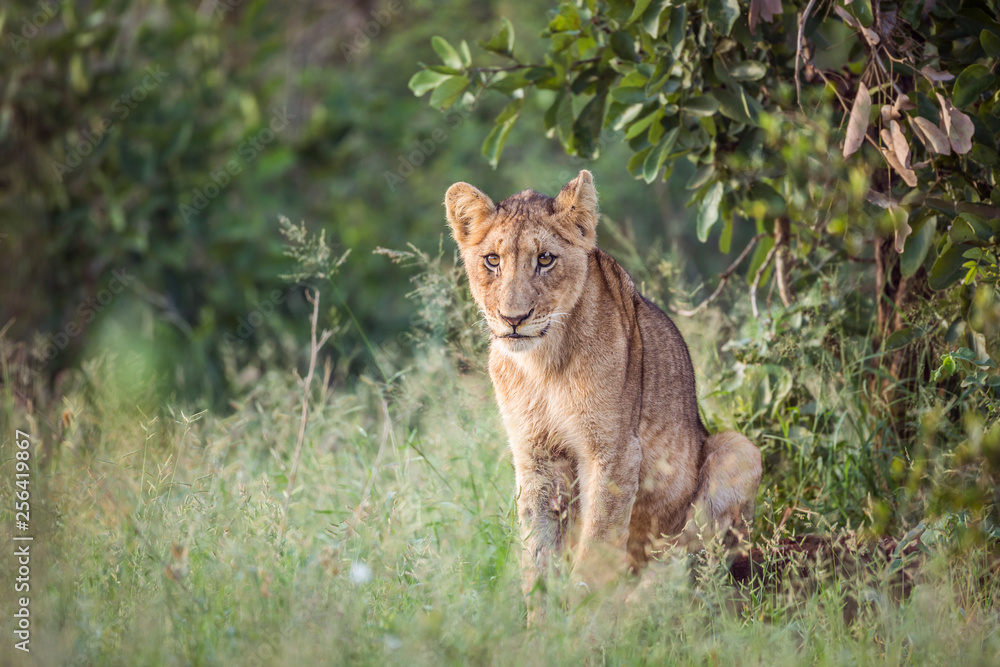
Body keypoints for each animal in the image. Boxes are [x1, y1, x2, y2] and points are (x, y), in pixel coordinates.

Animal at [444, 170, 762, 619]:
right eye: (492, 260)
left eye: (545, 259)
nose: (513, 319)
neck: (543, 364)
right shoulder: (536, 455)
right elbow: (538, 552)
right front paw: (540, 623)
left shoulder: (615, 451)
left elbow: (596, 546)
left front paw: (581, 620)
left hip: (738, 448)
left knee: (684, 567)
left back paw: (639, 607)